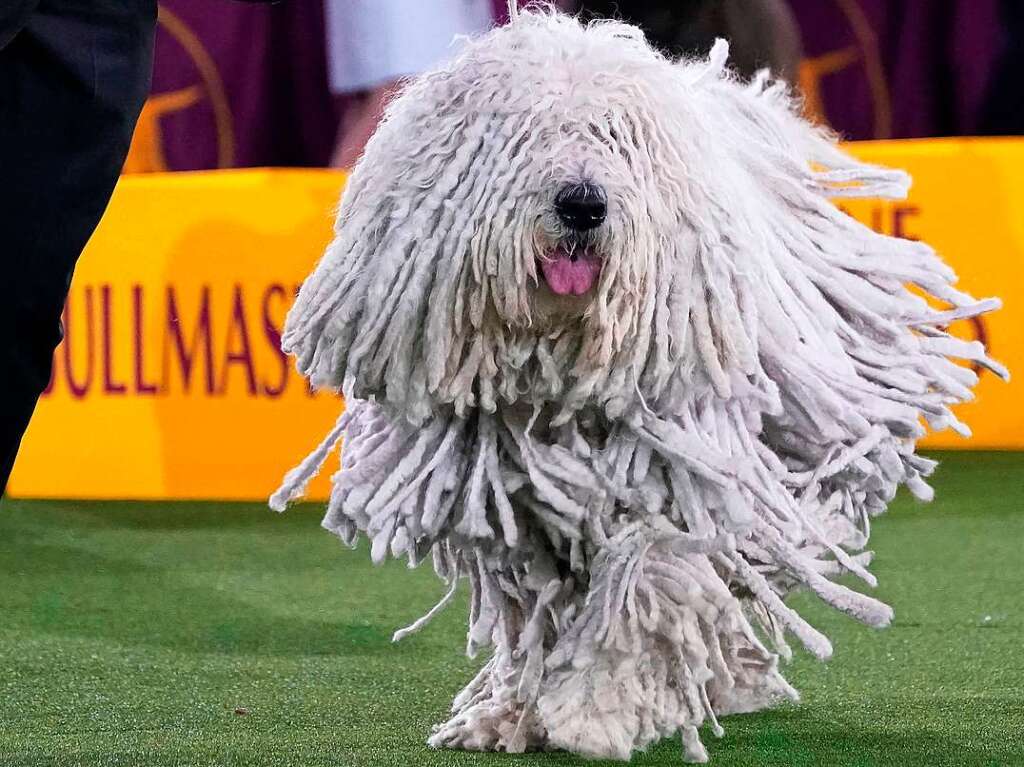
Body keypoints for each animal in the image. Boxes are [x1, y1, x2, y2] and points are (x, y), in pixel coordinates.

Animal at [268, 4, 1003, 761]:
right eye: (528, 134)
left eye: (614, 138)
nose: (582, 203)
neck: (556, 362)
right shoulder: (509, 502)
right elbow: (534, 603)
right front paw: (514, 712)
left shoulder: (675, 469)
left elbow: (644, 574)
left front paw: (596, 708)